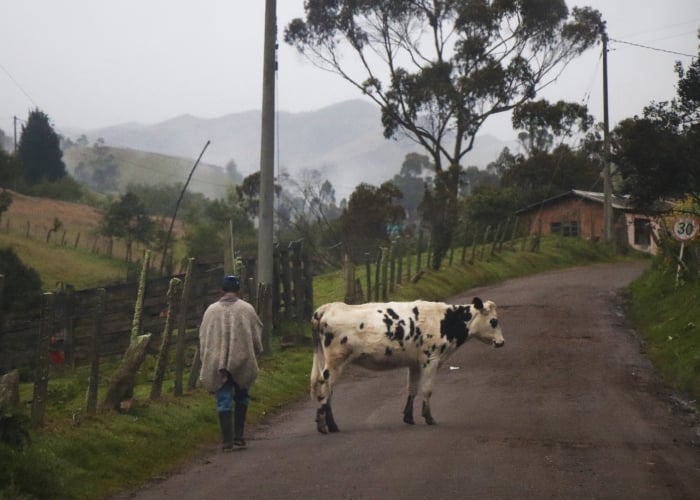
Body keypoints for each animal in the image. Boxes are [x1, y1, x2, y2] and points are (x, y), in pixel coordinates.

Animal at [310, 296, 504, 434]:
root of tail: (326, 308)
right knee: (325, 389)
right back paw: (325, 426)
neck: (444, 321)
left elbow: (412, 389)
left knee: (326, 389)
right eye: (494, 321)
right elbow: (427, 389)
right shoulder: (431, 359)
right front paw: (429, 417)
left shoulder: (415, 363)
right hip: (334, 363)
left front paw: (409, 417)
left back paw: (330, 425)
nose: (502, 342)